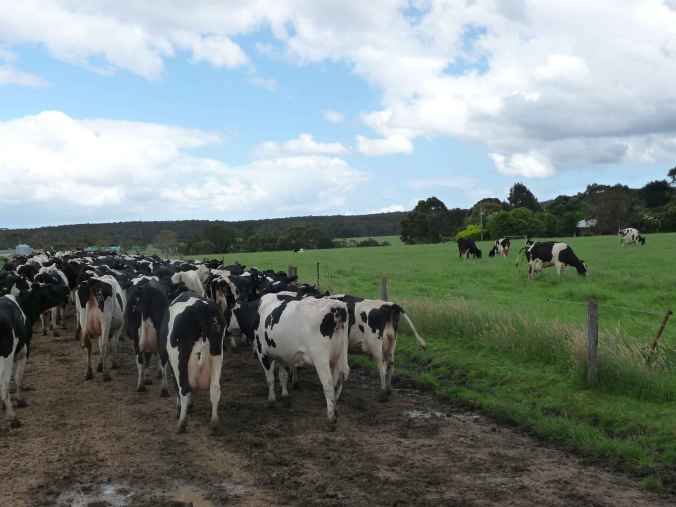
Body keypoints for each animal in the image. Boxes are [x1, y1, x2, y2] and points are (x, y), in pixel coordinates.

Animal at [160, 292, 227, 433]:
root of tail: (201, 309)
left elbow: (178, 387)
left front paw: (180, 409)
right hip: (217, 354)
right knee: (215, 388)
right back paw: (214, 423)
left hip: (178, 359)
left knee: (184, 389)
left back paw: (182, 423)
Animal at [252, 293, 349, 428]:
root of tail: (336, 307)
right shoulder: (282, 355)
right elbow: (283, 375)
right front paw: (285, 395)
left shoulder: (263, 352)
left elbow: (270, 378)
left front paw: (271, 400)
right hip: (340, 355)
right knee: (338, 378)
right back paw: (335, 410)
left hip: (321, 357)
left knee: (328, 383)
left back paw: (331, 419)